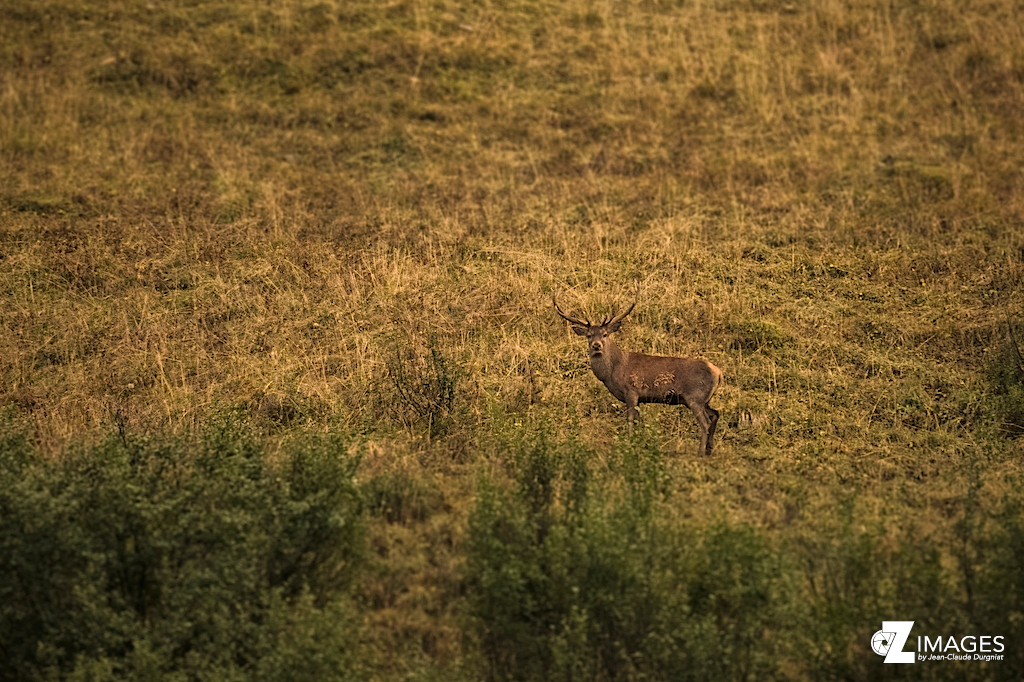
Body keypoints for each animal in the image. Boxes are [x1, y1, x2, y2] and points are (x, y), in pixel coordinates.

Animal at [554, 291, 724, 456]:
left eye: (605, 334)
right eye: (589, 335)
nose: (596, 346)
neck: (614, 370)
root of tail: (719, 373)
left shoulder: (631, 391)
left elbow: (630, 420)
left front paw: (629, 444)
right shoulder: (641, 398)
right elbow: (638, 421)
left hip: (695, 396)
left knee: (706, 422)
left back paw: (700, 452)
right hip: (701, 400)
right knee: (715, 414)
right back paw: (709, 449)